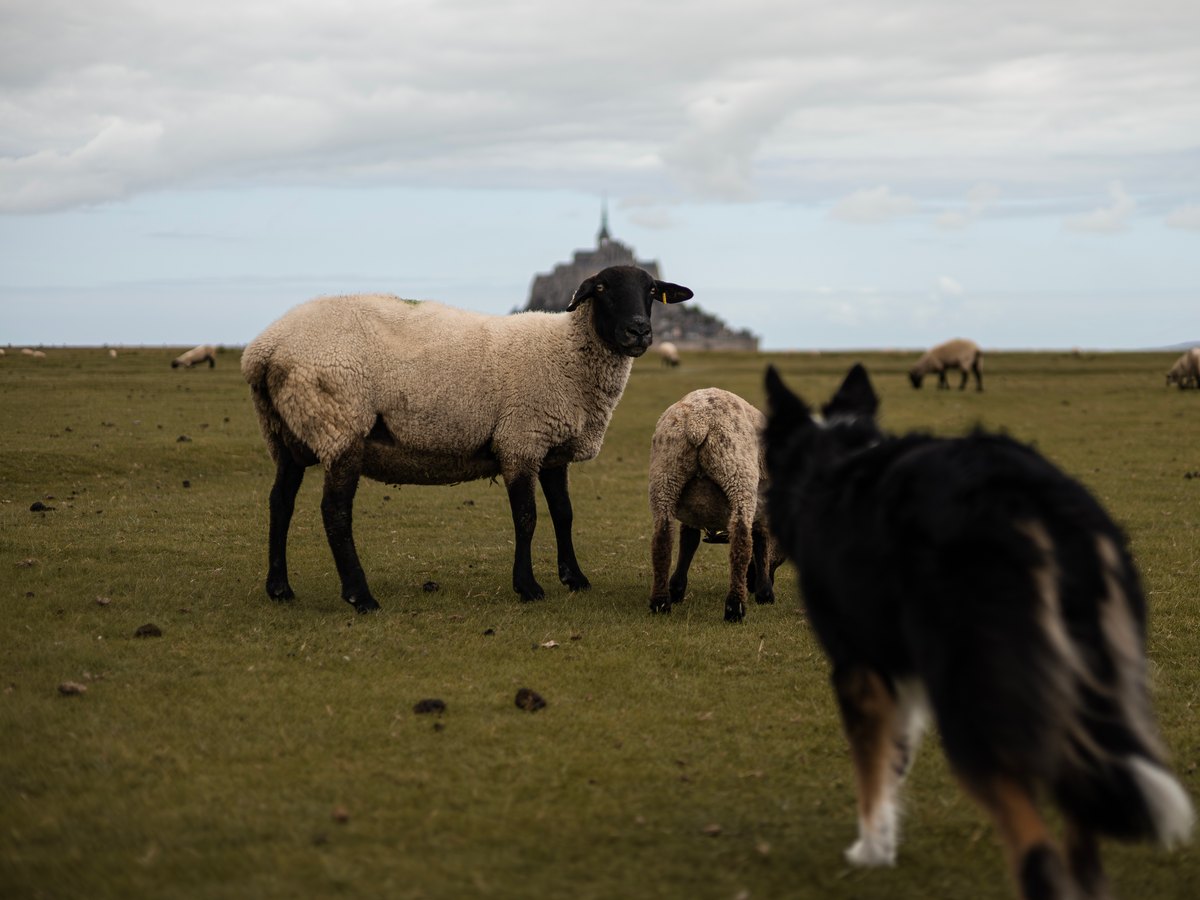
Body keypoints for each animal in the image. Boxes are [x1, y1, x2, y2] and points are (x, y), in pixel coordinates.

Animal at [241, 264, 694, 612]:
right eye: (601, 289)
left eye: (651, 291)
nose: (639, 331)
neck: (568, 353)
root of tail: (263, 350)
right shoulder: (520, 440)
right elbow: (526, 518)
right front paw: (527, 586)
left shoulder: (551, 450)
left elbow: (564, 514)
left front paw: (574, 577)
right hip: (339, 425)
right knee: (334, 512)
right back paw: (359, 595)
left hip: (287, 434)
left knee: (280, 504)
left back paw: (279, 588)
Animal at [648, 388, 781, 622]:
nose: (751, 584)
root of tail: (698, 423)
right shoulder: (763, 509)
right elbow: (761, 542)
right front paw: (765, 593)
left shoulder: (693, 512)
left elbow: (689, 541)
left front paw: (677, 589)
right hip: (738, 477)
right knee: (741, 540)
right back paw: (735, 608)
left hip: (665, 476)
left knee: (662, 538)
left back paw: (661, 602)